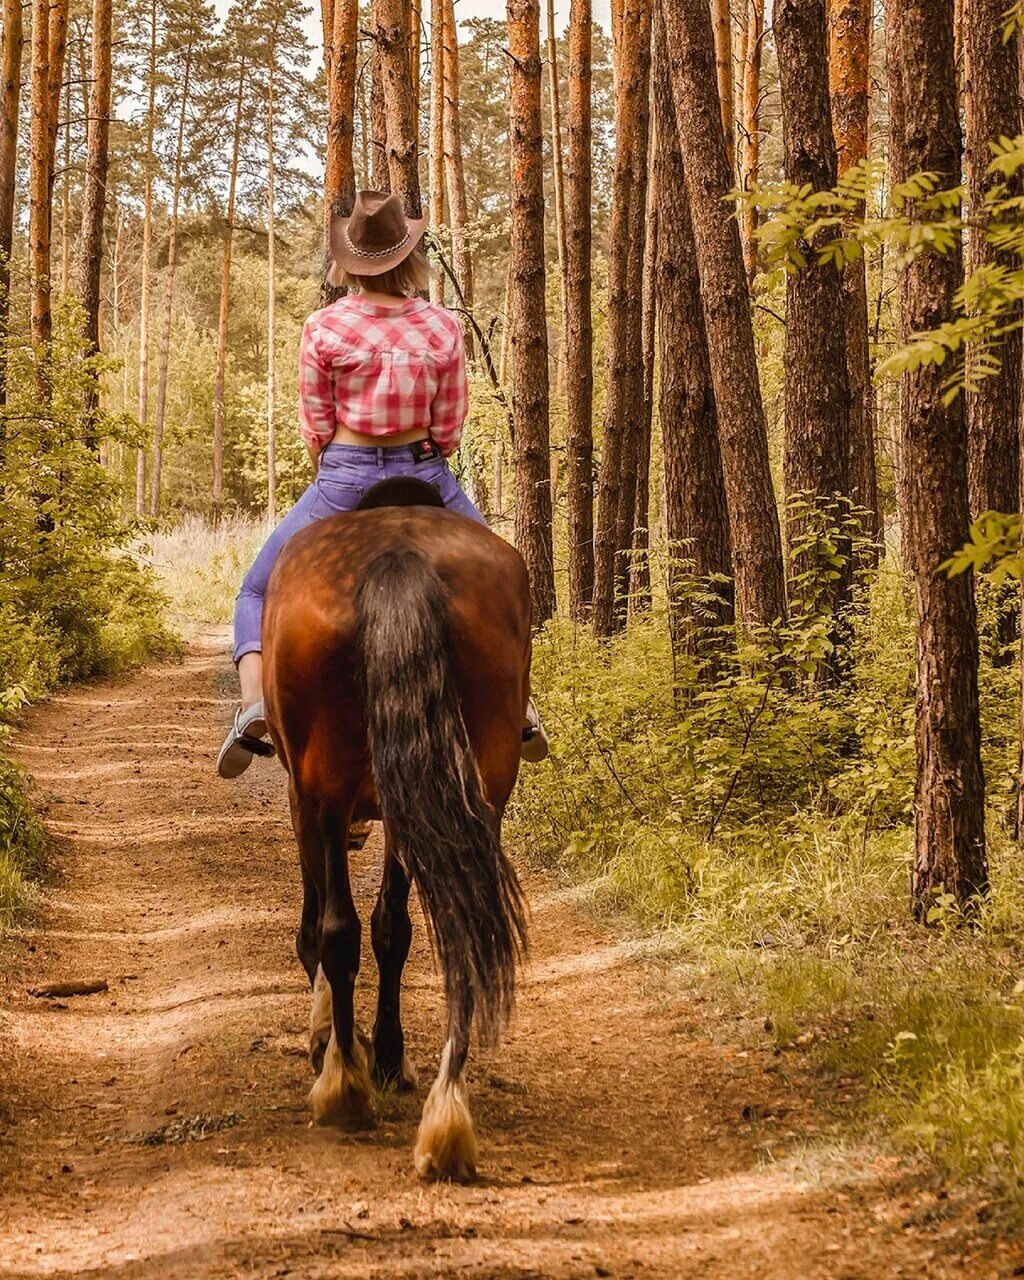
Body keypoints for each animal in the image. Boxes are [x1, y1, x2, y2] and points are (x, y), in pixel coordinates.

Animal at [259, 483, 532, 1182]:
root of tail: (397, 555)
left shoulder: (305, 801)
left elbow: (321, 928)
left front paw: (333, 1040)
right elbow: (394, 927)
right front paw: (384, 1053)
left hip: (324, 793)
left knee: (337, 930)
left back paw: (344, 1090)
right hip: (475, 783)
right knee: (463, 928)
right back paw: (446, 1117)